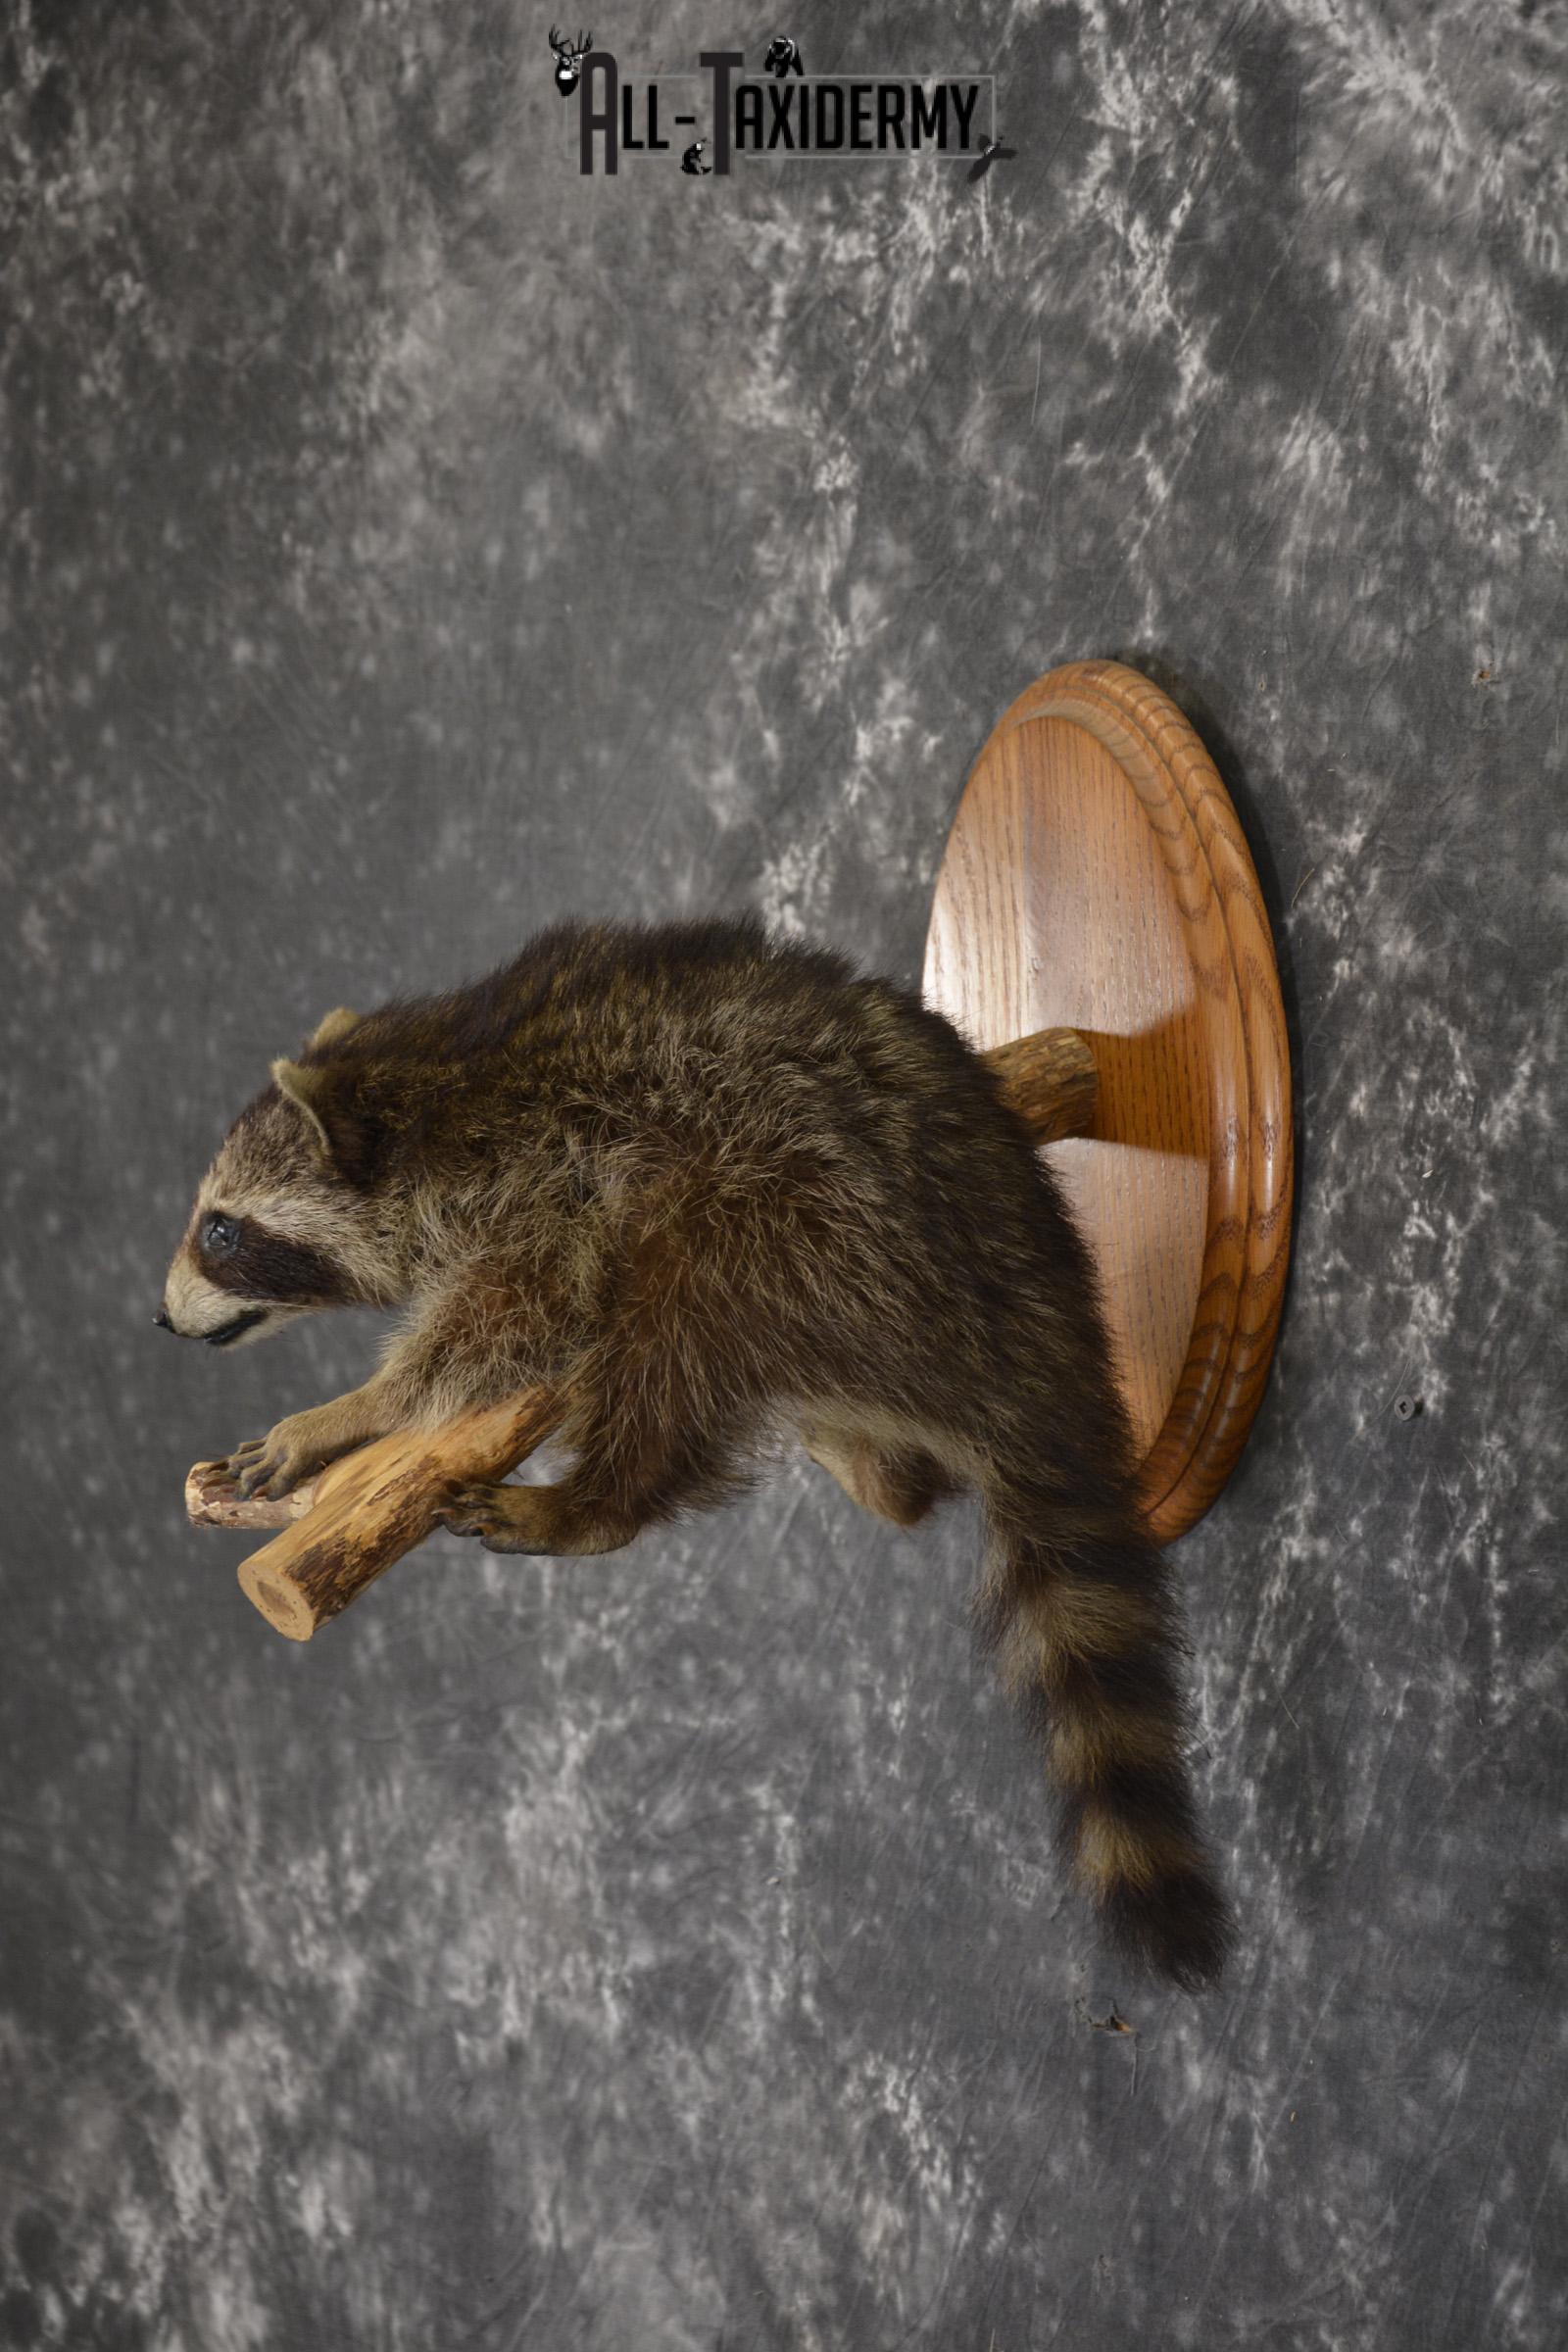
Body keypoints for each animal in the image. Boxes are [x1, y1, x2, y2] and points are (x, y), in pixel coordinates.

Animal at [160, 915, 1232, 1990]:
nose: (160, 1322)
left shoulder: (542, 1172)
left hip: (813, 1212)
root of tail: (1036, 1313)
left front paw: (356, 1409)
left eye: (221, 1230)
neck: (431, 1072)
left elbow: (512, 1314)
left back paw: (600, 1503)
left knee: (673, 1312)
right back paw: (873, 1466)